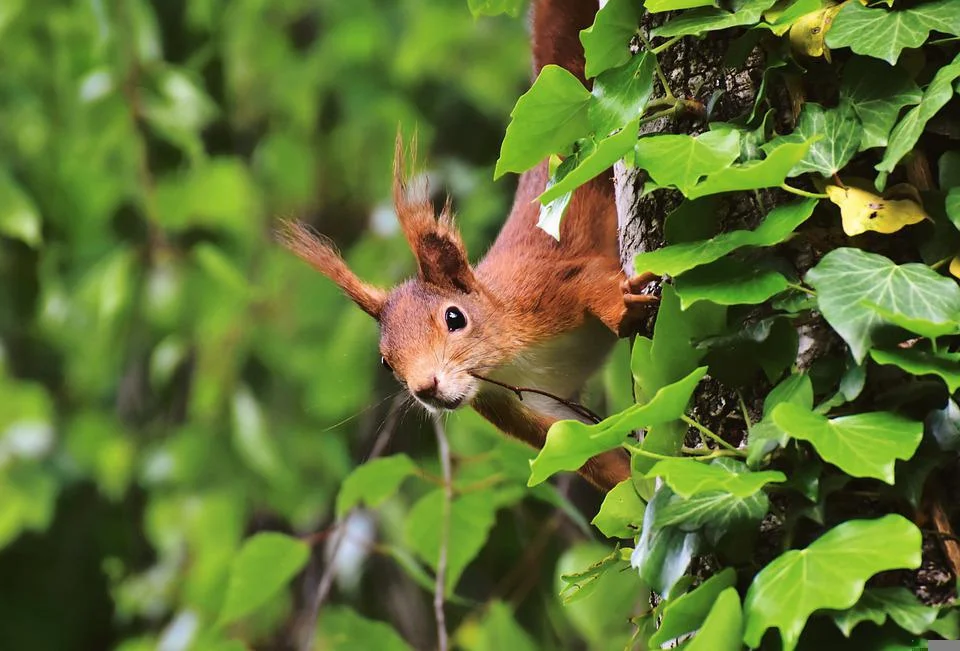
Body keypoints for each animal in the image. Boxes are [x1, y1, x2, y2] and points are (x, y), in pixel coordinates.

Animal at [282, 0, 656, 488]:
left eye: (454, 318)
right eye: (385, 362)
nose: (426, 388)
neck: (508, 359)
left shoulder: (547, 288)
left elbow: (589, 279)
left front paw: (624, 306)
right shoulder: (521, 408)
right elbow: (588, 452)